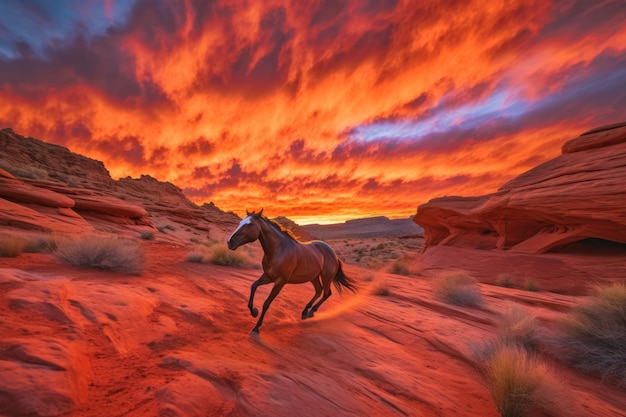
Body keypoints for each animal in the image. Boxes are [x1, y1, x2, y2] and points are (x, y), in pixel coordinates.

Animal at [225, 210, 354, 334]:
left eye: (250, 224)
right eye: (240, 222)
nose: (230, 242)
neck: (279, 250)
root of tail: (334, 254)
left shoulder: (280, 282)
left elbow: (266, 303)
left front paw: (256, 327)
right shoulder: (268, 276)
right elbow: (253, 286)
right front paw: (254, 311)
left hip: (326, 277)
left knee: (327, 293)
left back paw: (311, 311)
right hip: (313, 277)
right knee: (319, 290)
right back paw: (305, 311)